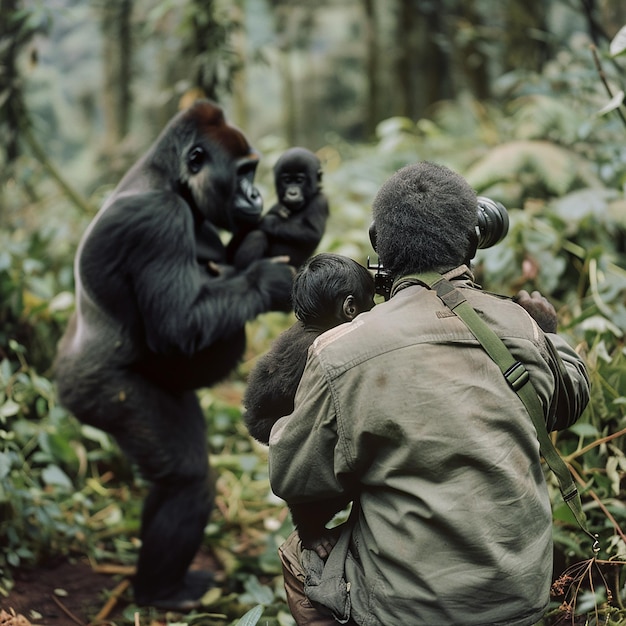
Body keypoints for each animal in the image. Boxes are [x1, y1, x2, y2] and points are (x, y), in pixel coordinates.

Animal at [53, 100, 292, 608]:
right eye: (243, 172)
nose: (256, 194)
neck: (167, 178)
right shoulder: (156, 220)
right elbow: (178, 325)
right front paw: (271, 281)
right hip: (99, 394)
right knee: (185, 477)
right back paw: (158, 591)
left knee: (185, 474)